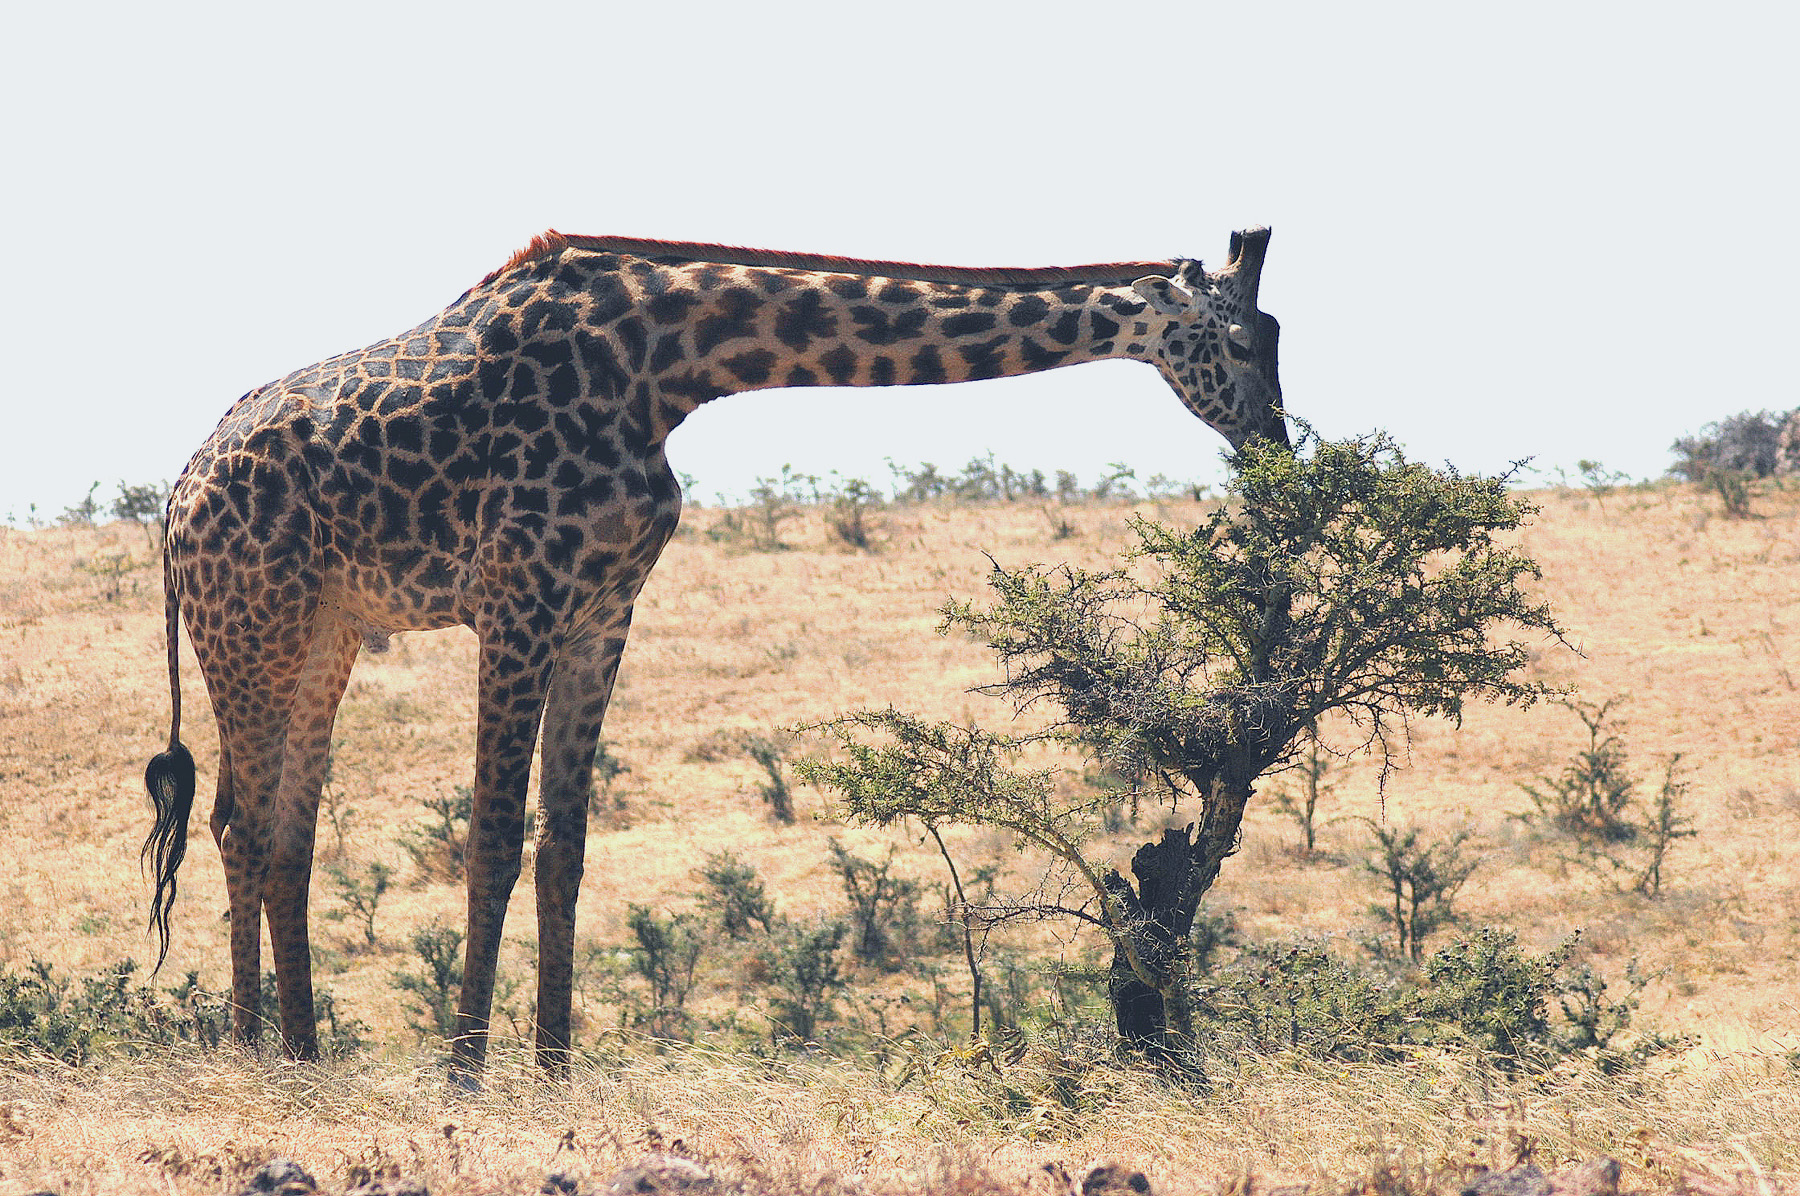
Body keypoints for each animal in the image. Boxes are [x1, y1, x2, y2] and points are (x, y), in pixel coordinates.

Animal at [147, 221, 1288, 1073]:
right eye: (1241, 343)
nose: (1276, 447)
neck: (670, 364)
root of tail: (175, 502)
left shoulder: (604, 608)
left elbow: (565, 842)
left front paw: (554, 1069)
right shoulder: (518, 599)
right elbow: (493, 834)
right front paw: (465, 1070)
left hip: (324, 633)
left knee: (282, 834)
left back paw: (304, 1054)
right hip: (249, 626)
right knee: (238, 825)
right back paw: (253, 1055)